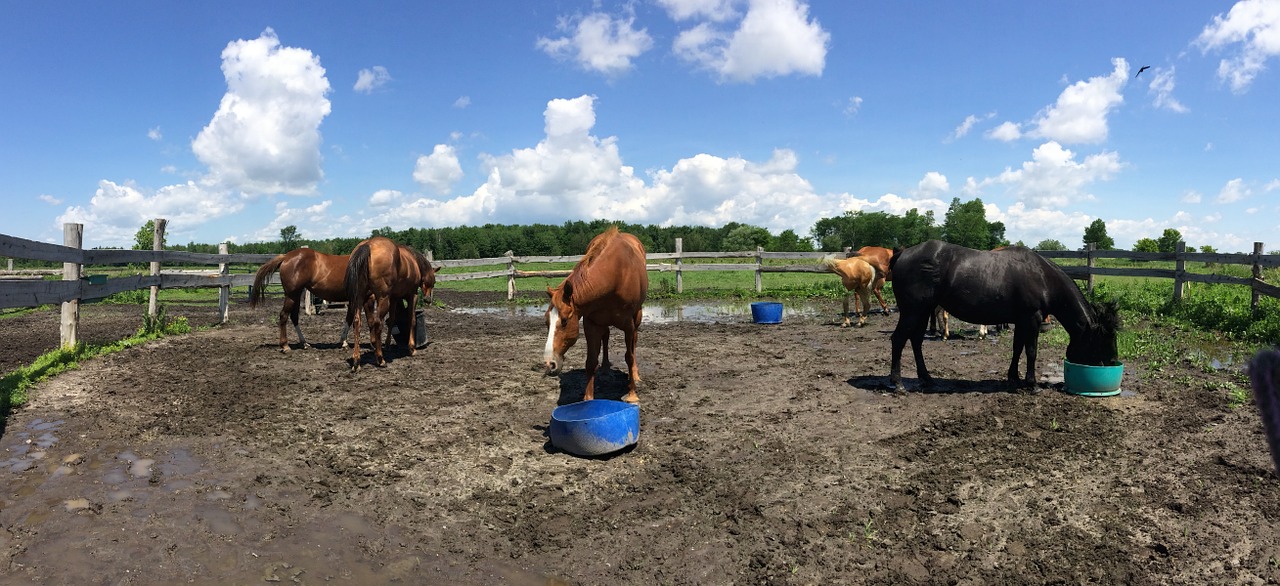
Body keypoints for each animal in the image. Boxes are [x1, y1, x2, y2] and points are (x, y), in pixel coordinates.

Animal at [343, 234, 437, 368]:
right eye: (434, 281)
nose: (428, 299)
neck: (413, 261)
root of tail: (368, 245)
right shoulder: (412, 295)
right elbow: (412, 319)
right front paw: (412, 348)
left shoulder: (394, 298)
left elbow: (392, 320)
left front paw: (387, 345)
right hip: (383, 299)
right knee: (377, 323)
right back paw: (380, 358)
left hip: (360, 298)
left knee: (357, 322)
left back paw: (357, 360)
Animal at [542, 227, 650, 401]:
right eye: (546, 322)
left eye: (564, 321)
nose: (549, 364)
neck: (615, 275)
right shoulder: (591, 324)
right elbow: (591, 361)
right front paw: (588, 398)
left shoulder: (628, 324)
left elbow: (629, 356)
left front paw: (632, 394)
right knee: (605, 337)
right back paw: (605, 369)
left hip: (637, 316)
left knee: (634, 342)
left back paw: (635, 374)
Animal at [890, 240, 1121, 391]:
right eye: (1105, 338)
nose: (1112, 362)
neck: (1043, 277)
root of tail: (902, 253)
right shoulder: (1032, 319)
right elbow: (1031, 351)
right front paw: (1032, 384)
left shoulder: (1021, 320)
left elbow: (1017, 348)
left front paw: (1014, 379)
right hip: (912, 312)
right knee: (899, 339)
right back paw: (898, 383)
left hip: (922, 312)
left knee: (916, 341)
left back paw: (927, 379)